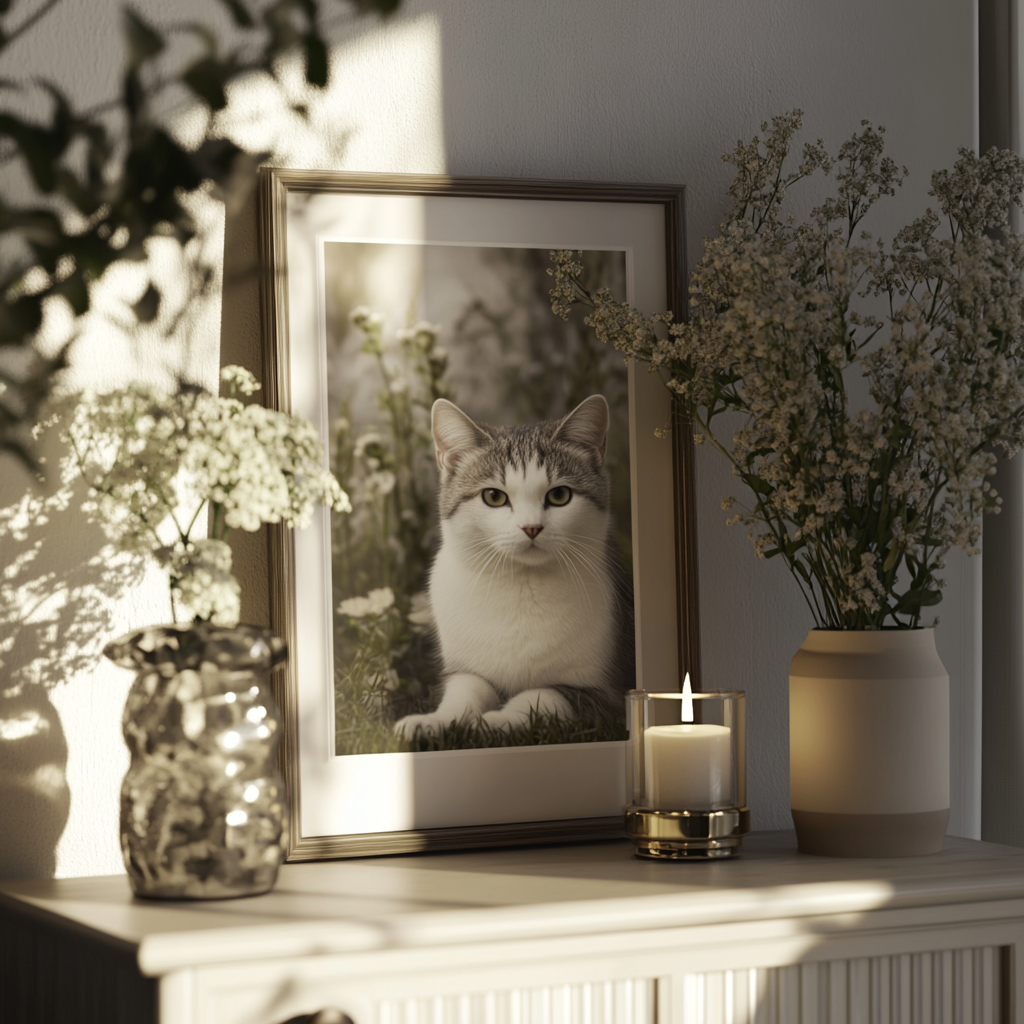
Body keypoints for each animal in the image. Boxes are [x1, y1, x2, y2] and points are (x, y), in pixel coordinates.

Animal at [391, 389, 630, 737]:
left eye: (559, 495)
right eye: (493, 497)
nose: (531, 527)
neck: (521, 583)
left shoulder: (604, 697)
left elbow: (541, 694)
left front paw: (495, 720)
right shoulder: (466, 669)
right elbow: (467, 689)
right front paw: (434, 721)